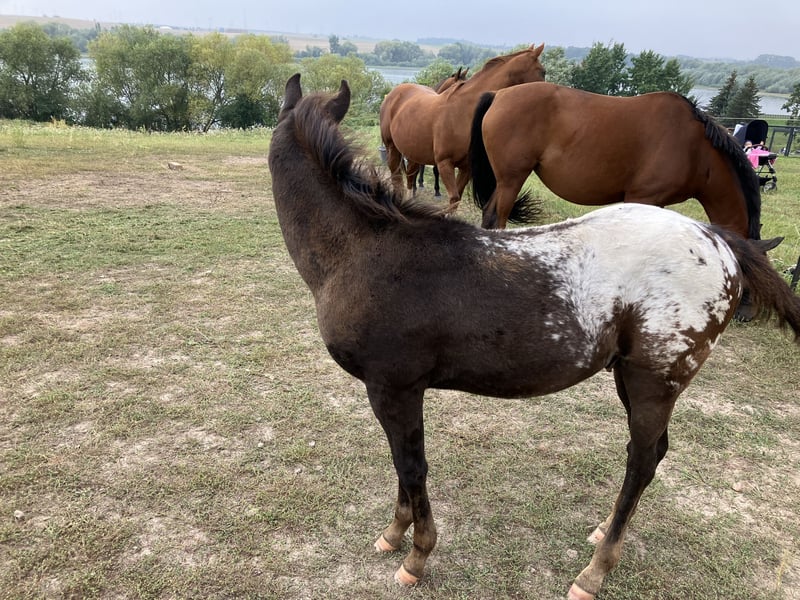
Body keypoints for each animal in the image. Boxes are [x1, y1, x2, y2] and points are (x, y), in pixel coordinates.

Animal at [380, 44, 545, 212]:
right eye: (542, 71)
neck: (463, 111)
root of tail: (394, 94)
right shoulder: (444, 163)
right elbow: (453, 197)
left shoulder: (466, 168)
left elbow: (455, 200)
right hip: (392, 148)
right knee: (397, 177)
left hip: (413, 152)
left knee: (410, 177)